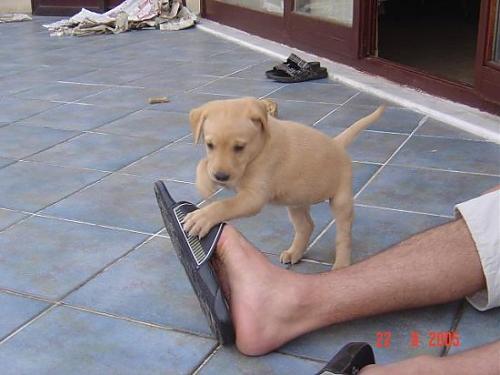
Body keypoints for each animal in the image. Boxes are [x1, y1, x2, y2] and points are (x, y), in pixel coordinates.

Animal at [182, 95, 384, 268]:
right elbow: (203, 163)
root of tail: (337, 144)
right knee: (306, 226)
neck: (258, 150)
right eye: (209, 145)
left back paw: (341, 264)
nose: (220, 177)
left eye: (239, 147)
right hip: (296, 202)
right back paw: (294, 253)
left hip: (341, 200)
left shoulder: (253, 197)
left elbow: (224, 205)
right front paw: (204, 184)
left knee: (344, 236)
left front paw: (202, 217)